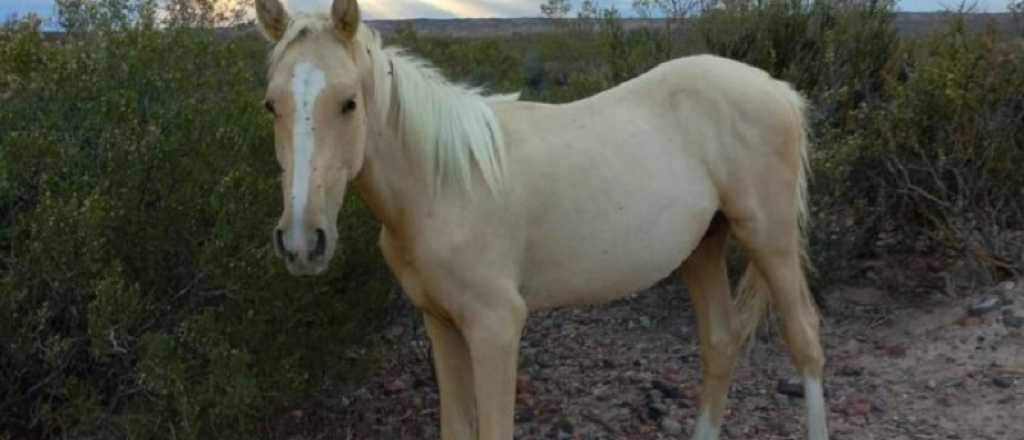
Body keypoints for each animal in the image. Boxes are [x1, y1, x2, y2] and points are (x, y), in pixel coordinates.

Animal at [256, 0, 831, 437]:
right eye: (271, 105)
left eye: (349, 102)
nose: (302, 242)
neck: (444, 183)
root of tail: (778, 89)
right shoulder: (440, 323)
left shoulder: (496, 325)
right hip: (703, 247)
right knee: (720, 344)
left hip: (769, 236)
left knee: (805, 343)